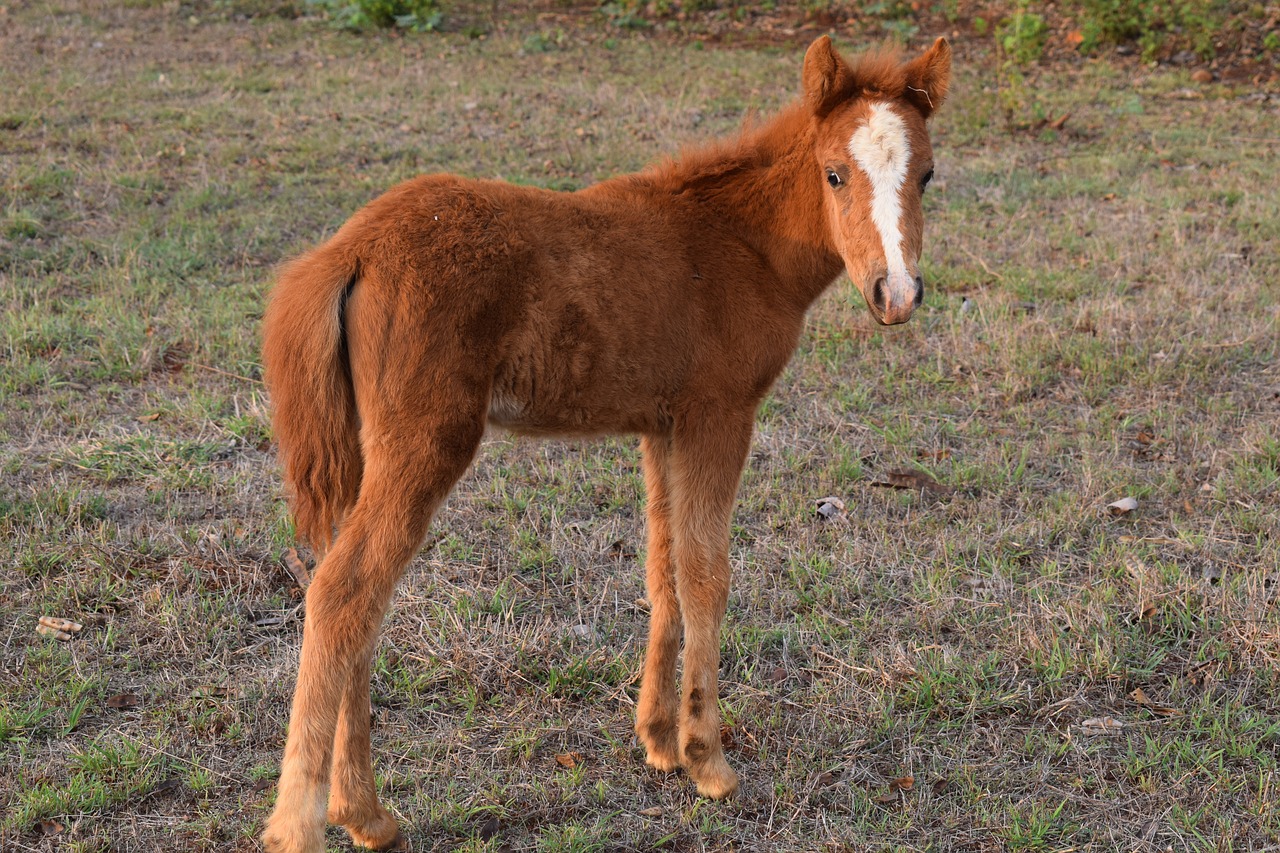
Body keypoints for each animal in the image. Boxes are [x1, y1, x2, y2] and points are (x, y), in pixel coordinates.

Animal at [259, 36, 947, 845]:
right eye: (834, 172)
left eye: (927, 174)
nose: (895, 294)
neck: (739, 243)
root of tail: (352, 249)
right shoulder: (720, 415)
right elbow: (707, 575)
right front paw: (709, 761)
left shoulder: (662, 426)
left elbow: (663, 569)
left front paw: (659, 740)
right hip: (425, 445)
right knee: (344, 592)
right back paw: (306, 824)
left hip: (372, 450)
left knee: (357, 603)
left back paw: (364, 813)